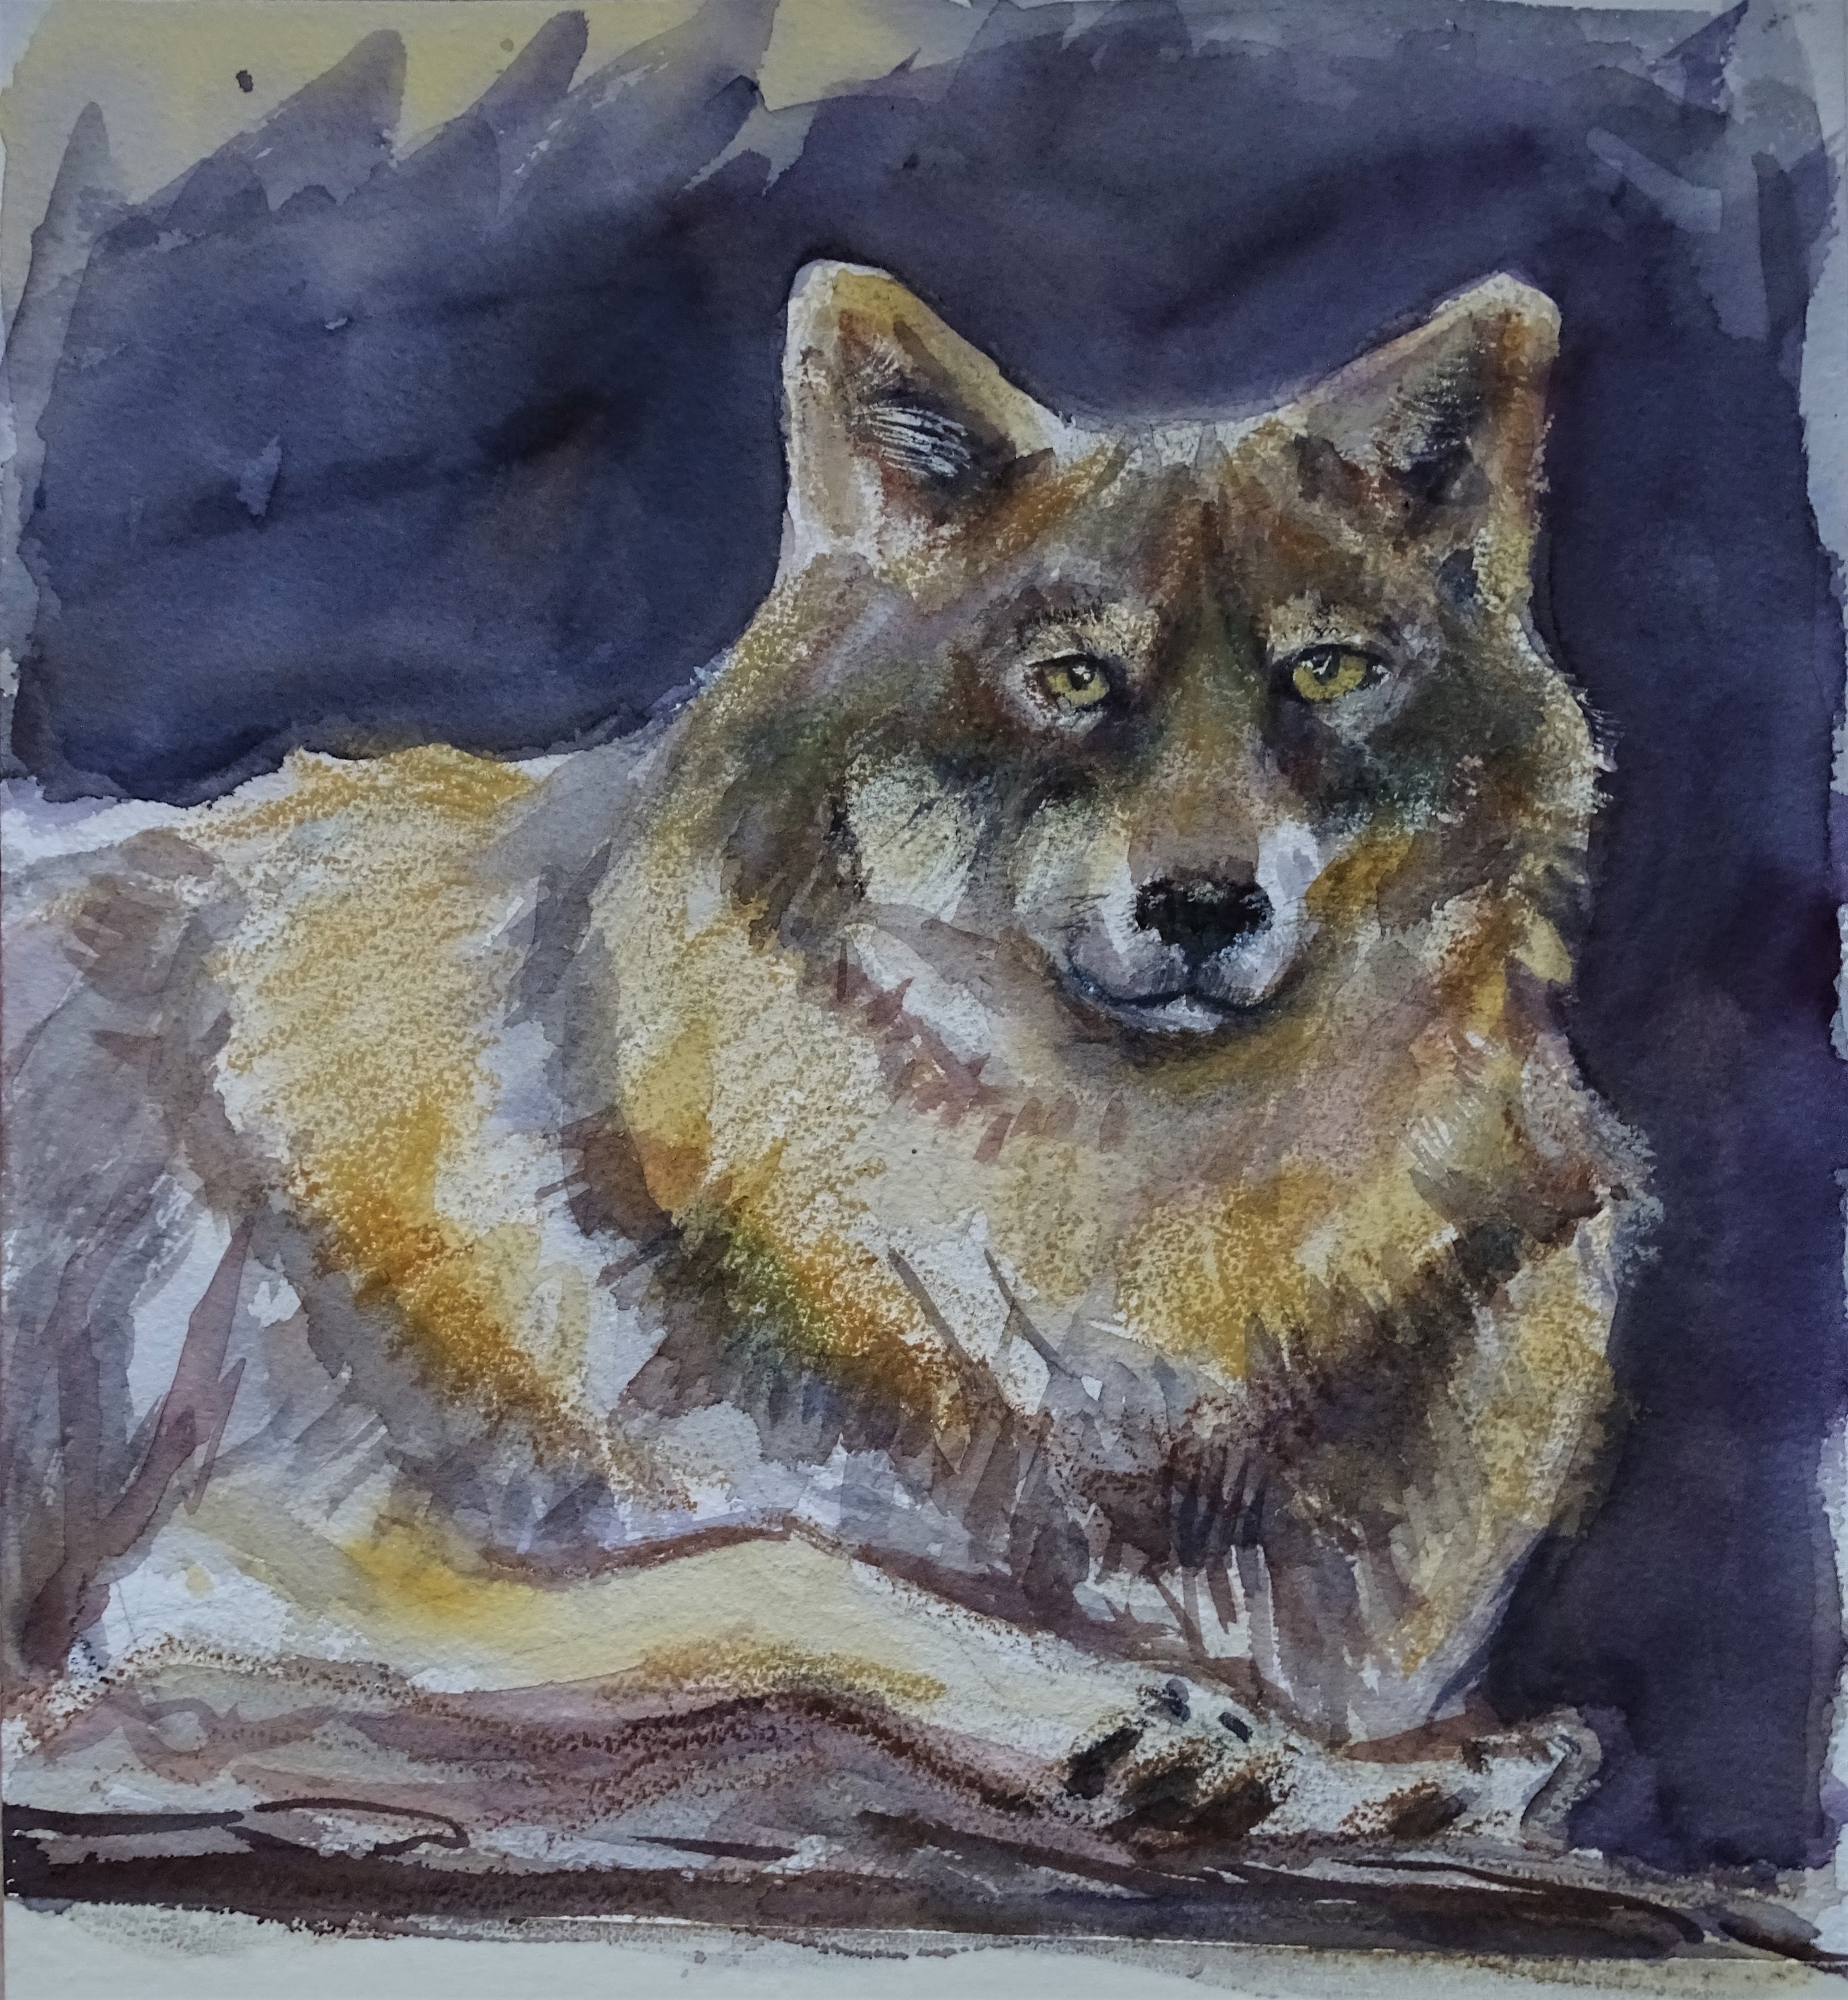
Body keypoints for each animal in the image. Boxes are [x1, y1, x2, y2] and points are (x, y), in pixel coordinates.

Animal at [3, 263, 1647, 1875]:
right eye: (1072, 679)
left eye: (1329, 671)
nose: (1204, 904)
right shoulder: (247, 1558)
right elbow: (788, 1560)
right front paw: (1147, 1718)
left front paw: (1432, 1773)